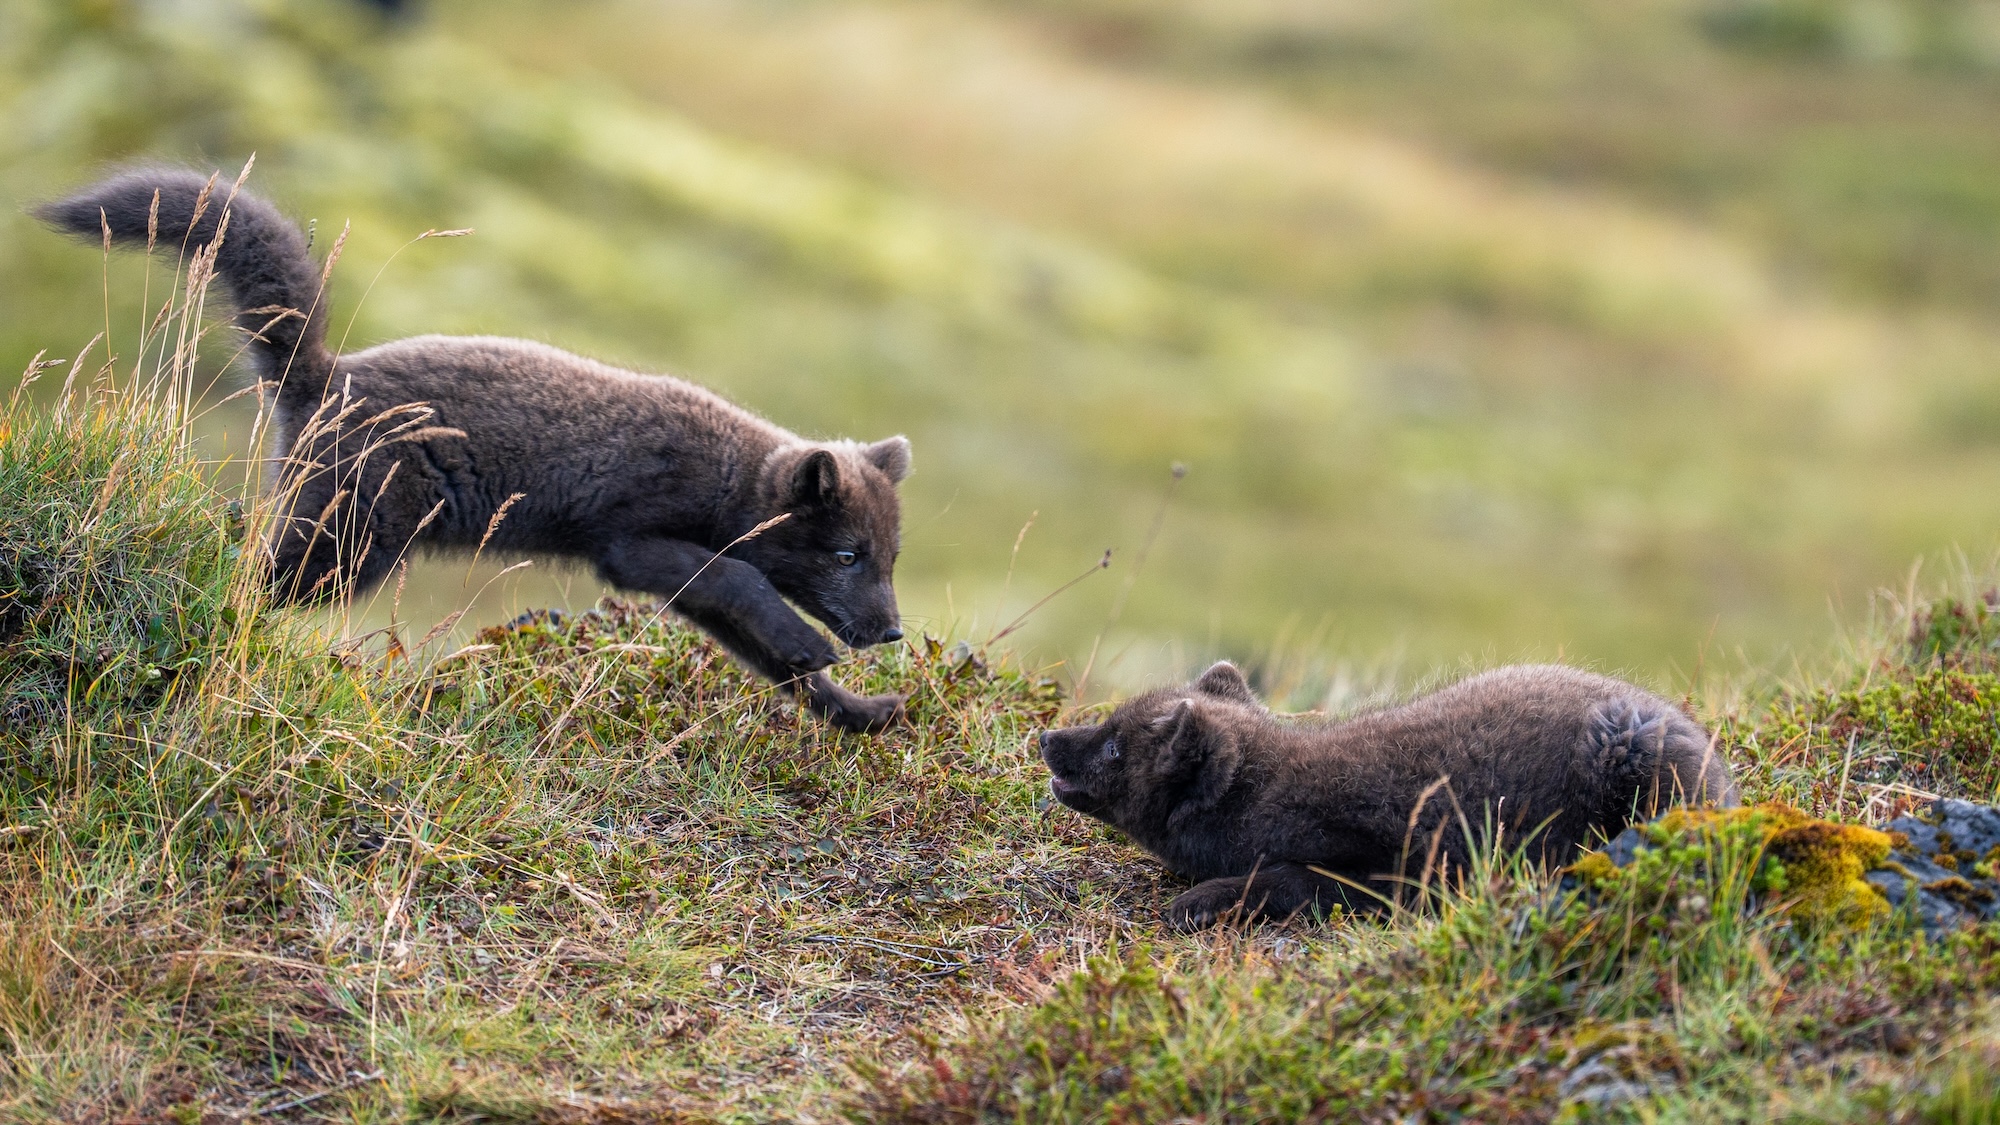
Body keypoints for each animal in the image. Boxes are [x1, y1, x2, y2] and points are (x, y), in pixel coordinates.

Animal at [38, 168, 909, 732]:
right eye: (845, 555)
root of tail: (328, 373)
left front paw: (860, 713)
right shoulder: (630, 544)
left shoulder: (684, 587)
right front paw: (814, 644)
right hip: (346, 547)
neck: (729, 477)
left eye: (891, 558)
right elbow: (744, 583)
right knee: (243, 567)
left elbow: (772, 656)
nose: (895, 632)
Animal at [1039, 661, 1737, 929]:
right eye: (1108, 725)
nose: (1047, 736)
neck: (1261, 799)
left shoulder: (1385, 869)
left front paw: (1201, 901)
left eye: (1114, 746)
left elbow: (1286, 879)